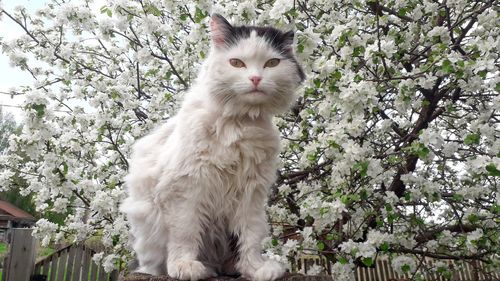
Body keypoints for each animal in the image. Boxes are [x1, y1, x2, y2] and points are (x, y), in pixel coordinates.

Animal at [121, 13, 304, 280]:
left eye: (272, 63)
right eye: (237, 63)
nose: (256, 79)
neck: (240, 122)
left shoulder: (252, 192)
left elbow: (250, 236)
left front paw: (255, 268)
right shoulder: (185, 187)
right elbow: (185, 232)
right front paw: (184, 266)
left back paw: (230, 267)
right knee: (156, 262)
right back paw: (200, 267)